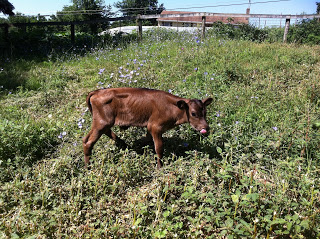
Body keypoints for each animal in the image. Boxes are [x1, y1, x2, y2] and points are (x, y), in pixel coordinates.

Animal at [82, 87, 212, 168]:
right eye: (193, 113)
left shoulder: (150, 127)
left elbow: (146, 139)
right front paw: (160, 167)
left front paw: (138, 145)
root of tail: (97, 92)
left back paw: (123, 144)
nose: (206, 127)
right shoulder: (155, 127)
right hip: (102, 122)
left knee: (90, 137)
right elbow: (159, 148)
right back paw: (88, 167)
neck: (173, 109)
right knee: (88, 143)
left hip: (102, 122)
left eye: (205, 112)